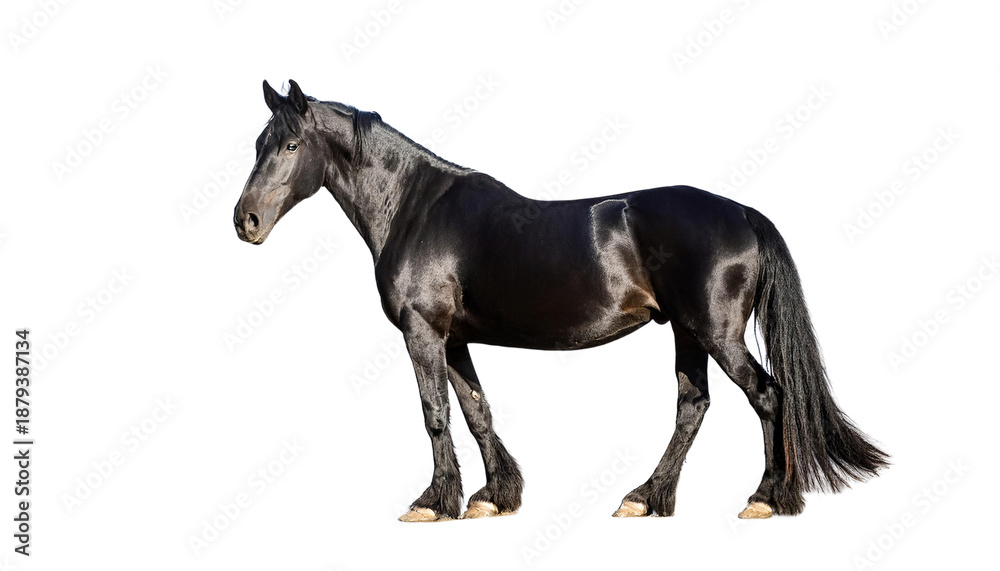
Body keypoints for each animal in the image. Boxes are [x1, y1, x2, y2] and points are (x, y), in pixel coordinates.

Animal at [233, 79, 888, 522]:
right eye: (259, 142)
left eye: (291, 144)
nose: (246, 221)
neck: (416, 209)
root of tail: (743, 213)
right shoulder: (455, 337)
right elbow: (476, 411)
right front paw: (493, 497)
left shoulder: (423, 332)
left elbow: (435, 413)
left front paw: (433, 502)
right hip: (685, 332)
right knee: (692, 406)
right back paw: (646, 498)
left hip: (716, 332)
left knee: (768, 396)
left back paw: (764, 498)